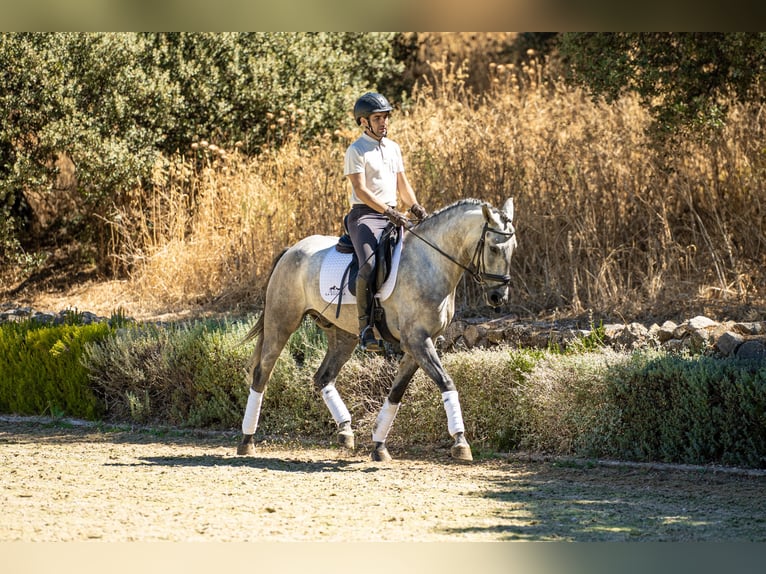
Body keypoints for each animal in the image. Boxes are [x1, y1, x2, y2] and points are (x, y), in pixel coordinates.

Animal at [237, 198, 520, 464]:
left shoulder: (419, 344)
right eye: (494, 248)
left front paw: (379, 446)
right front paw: (460, 442)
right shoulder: (417, 340)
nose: (498, 297)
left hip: (343, 336)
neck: (431, 263)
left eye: (513, 248)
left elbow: (396, 393)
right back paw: (247, 441)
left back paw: (345, 431)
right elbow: (445, 381)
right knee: (261, 374)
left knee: (323, 377)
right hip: (282, 323)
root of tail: (291, 250)